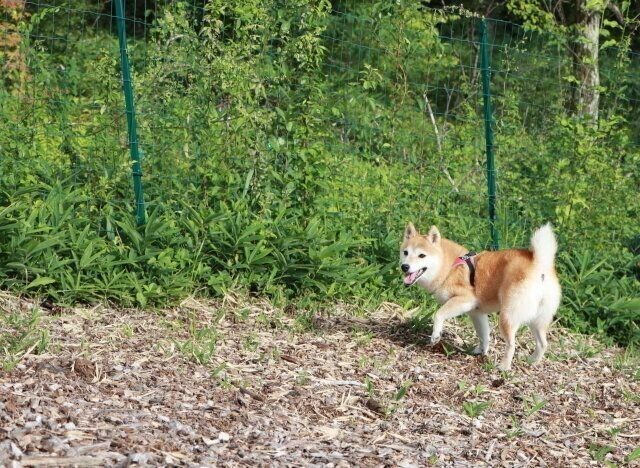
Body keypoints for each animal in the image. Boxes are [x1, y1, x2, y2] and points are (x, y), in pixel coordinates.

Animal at [400, 223, 560, 372]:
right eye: (405, 253)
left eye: (421, 255)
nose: (404, 267)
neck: (449, 266)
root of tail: (539, 264)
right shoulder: (476, 313)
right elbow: (484, 335)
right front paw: (481, 352)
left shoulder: (465, 299)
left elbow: (438, 314)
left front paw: (436, 335)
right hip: (537, 320)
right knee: (542, 344)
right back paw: (532, 361)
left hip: (507, 316)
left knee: (512, 345)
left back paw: (503, 367)